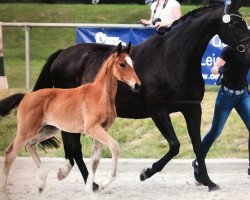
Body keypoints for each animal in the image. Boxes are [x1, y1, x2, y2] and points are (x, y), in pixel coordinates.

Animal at [0, 42, 141, 194]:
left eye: (132, 63)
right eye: (122, 64)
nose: (137, 85)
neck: (99, 94)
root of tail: (26, 96)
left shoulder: (103, 129)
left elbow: (95, 161)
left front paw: (90, 189)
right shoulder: (93, 128)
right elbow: (114, 147)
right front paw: (103, 184)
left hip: (49, 129)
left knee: (30, 145)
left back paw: (42, 184)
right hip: (26, 130)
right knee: (10, 154)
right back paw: (5, 191)